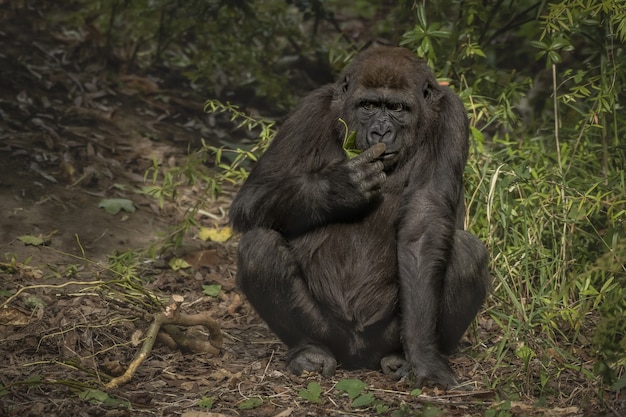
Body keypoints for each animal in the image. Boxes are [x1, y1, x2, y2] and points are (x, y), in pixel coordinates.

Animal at [228, 45, 488, 386]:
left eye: (396, 108)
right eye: (368, 105)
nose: (380, 131)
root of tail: (358, 356)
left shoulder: (451, 116)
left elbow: (424, 223)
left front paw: (423, 355)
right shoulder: (310, 109)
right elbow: (252, 196)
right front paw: (337, 187)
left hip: (385, 337)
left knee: (467, 254)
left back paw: (401, 356)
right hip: (332, 333)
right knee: (259, 247)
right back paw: (308, 349)